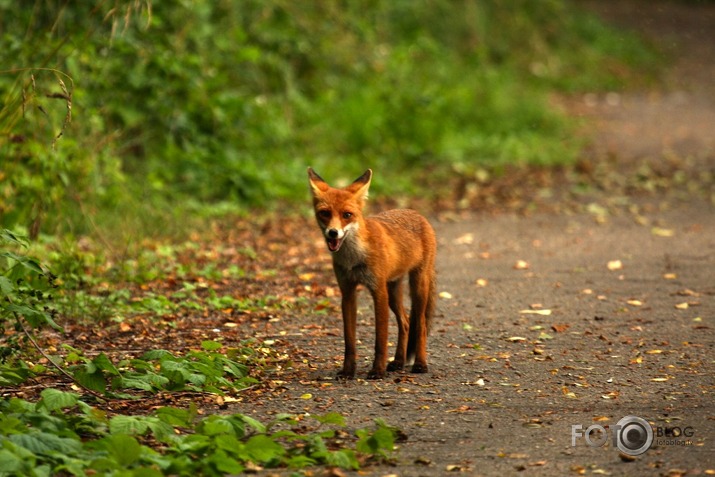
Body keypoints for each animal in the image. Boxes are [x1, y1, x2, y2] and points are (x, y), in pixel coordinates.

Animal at [308, 167, 436, 380]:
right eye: (325, 213)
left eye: (347, 214)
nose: (333, 233)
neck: (354, 258)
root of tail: (416, 213)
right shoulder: (348, 292)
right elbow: (349, 341)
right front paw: (348, 371)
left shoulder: (378, 291)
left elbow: (380, 339)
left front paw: (377, 370)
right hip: (393, 291)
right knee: (405, 323)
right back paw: (398, 362)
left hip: (417, 286)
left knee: (421, 325)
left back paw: (420, 363)